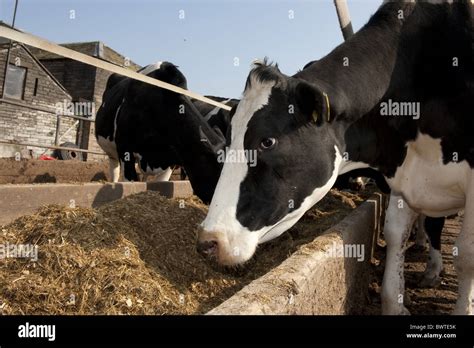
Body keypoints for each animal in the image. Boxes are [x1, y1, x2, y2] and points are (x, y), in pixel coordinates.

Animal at [197, 0, 474, 316]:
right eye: (228, 138)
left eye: (267, 141)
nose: (208, 241)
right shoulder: (403, 174)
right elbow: (395, 235)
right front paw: (395, 304)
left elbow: (467, 254)